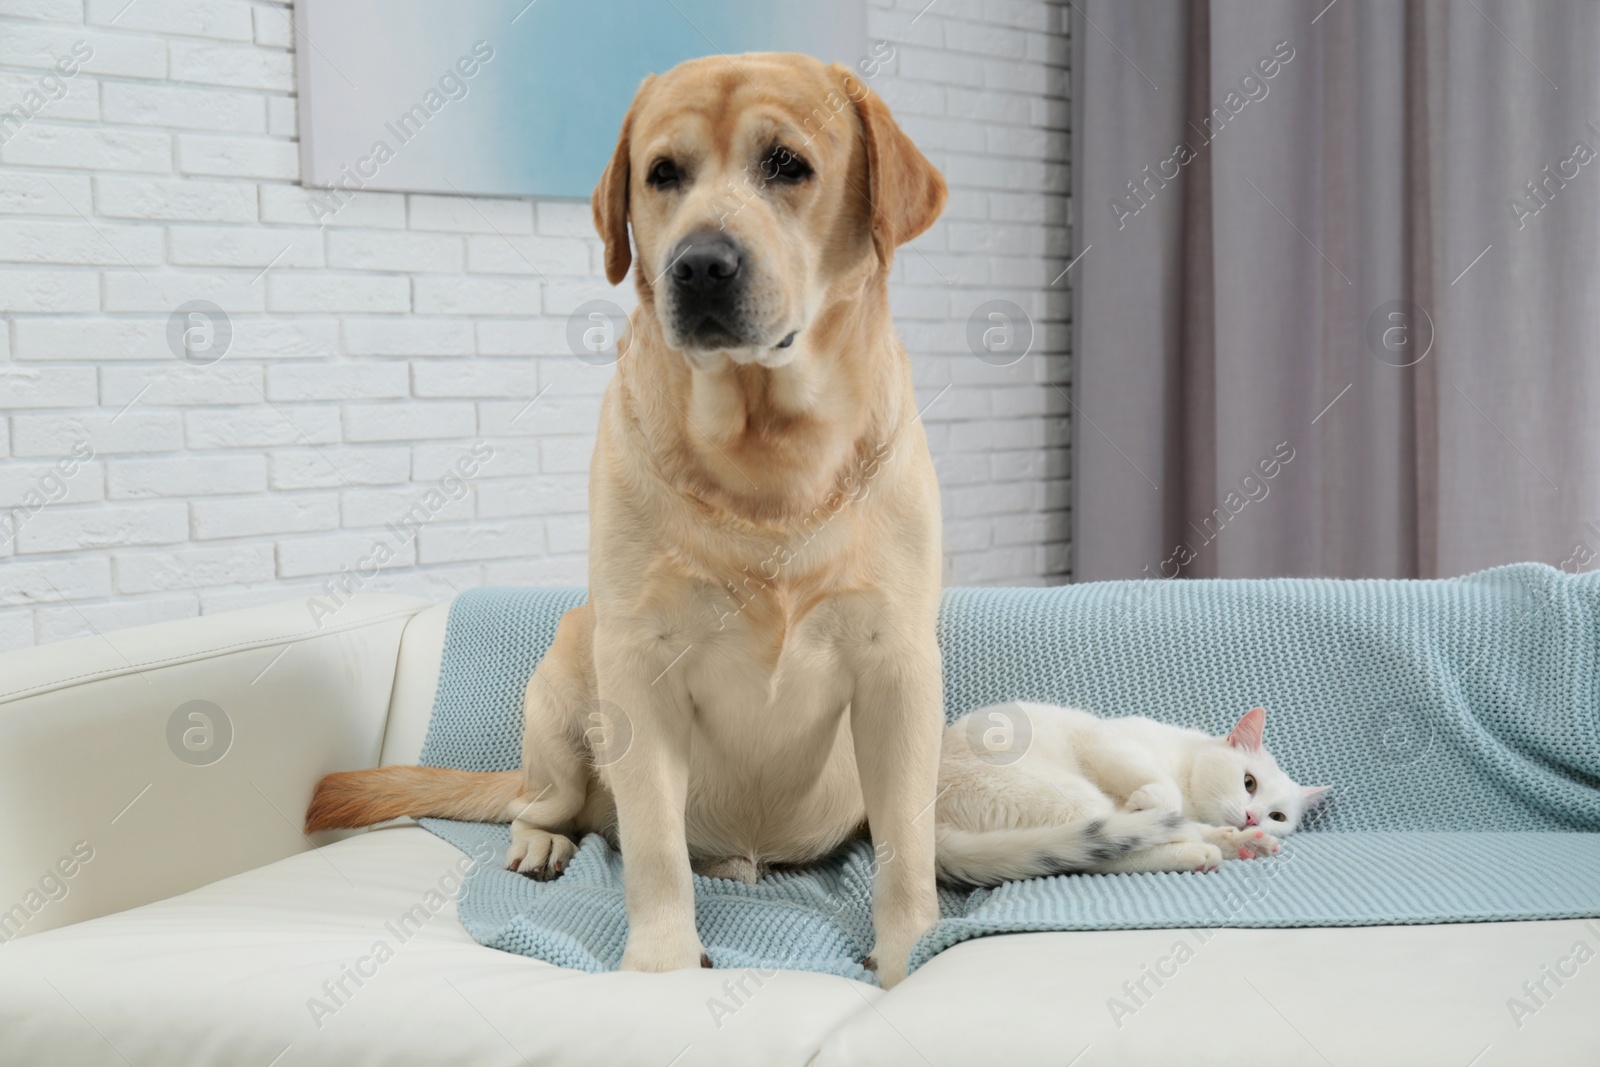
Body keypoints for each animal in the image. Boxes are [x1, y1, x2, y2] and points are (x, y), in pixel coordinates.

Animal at [305, 47, 940, 985]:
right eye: (662, 174)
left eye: (788, 164)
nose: (700, 265)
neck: (767, 452)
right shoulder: (640, 664)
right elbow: (652, 846)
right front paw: (662, 963)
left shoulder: (898, 667)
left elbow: (905, 844)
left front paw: (909, 953)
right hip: (566, 680)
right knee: (551, 802)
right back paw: (540, 841)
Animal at [934, 703, 1324, 889]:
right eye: (1249, 783)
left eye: (1278, 817)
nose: (1253, 818)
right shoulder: (1105, 740)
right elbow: (1162, 792)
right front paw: (1152, 800)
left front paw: (1245, 838)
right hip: (1063, 795)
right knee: (1103, 852)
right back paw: (1198, 850)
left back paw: (1234, 844)